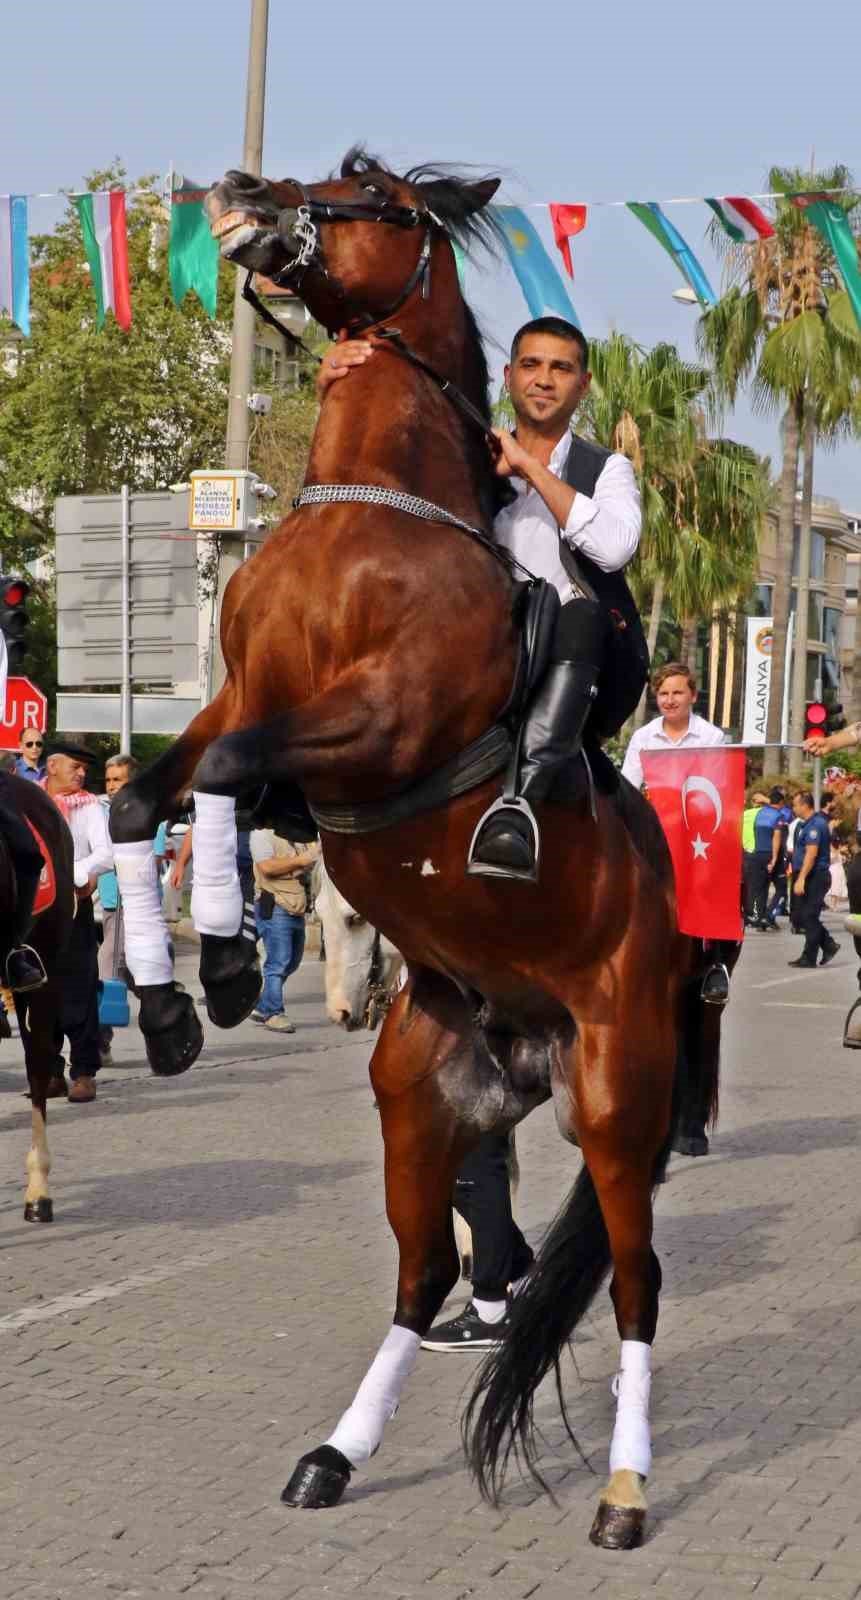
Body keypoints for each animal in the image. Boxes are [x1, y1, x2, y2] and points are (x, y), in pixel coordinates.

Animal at [108, 150, 723, 1548]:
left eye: (377, 196)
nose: (239, 189)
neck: (371, 522)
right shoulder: (248, 699)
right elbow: (160, 793)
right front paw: (201, 982)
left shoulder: (376, 725)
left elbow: (216, 776)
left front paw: (214, 974)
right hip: (419, 1095)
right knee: (427, 1269)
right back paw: (334, 1454)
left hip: (620, 1100)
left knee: (637, 1283)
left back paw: (624, 1490)